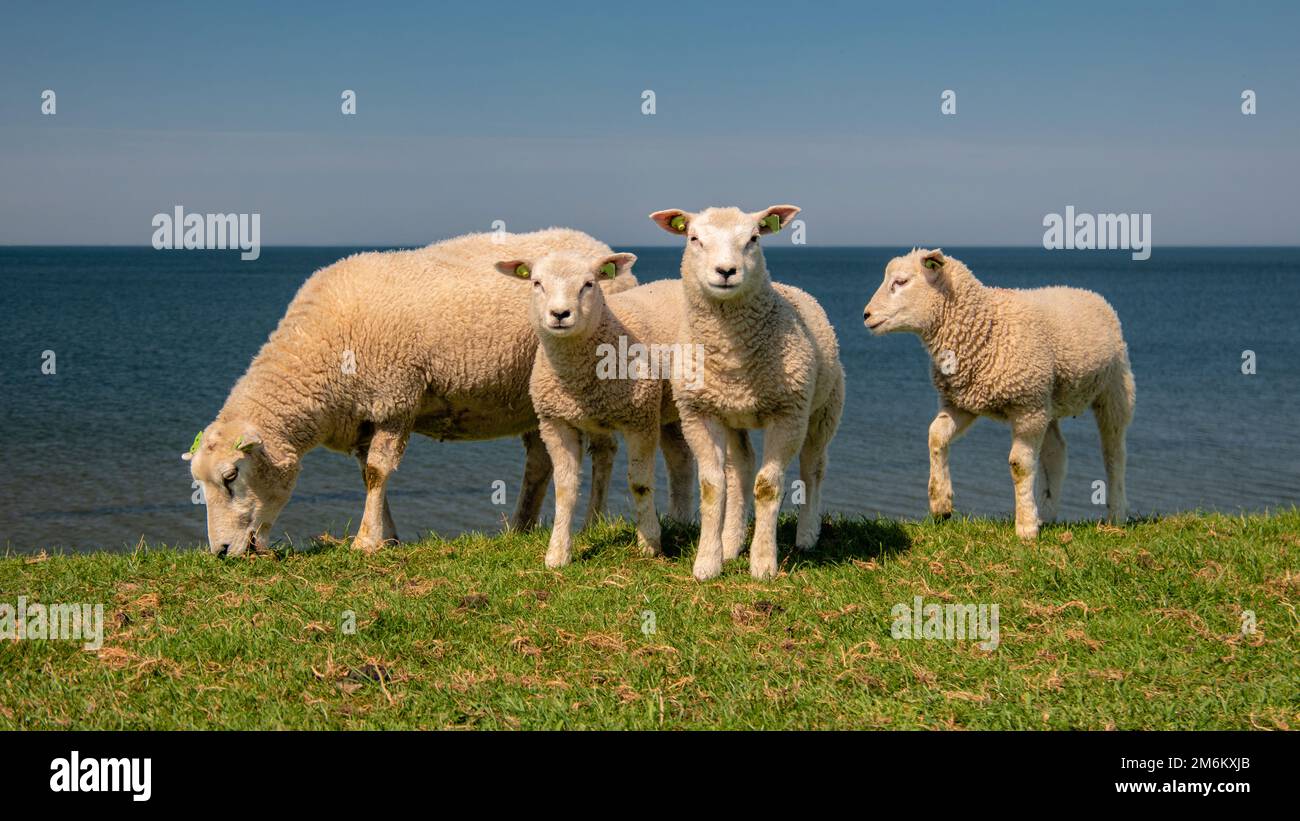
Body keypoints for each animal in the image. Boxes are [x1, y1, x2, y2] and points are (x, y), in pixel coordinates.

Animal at [181, 227, 682, 556]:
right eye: (199, 482)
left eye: (231, 476)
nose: (220, 552)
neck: (319, 354)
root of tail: (598, 246)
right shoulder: (363, 417)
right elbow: (368, 476)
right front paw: (388, 535)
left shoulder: (394, 398)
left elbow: (377, 472)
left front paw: (365, 542)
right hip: (533, 398)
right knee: (540, 461)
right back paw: (520, 527)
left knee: (603, 451)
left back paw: (593, 521)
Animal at [495, 251, 696, 568]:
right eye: (536, 283)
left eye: (589, 284)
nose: (560, 314)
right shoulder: (556, 423)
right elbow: (565, 489)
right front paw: (557, 554)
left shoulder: (640, 418)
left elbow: (639, 483)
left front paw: (649, 543)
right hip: (667, 409)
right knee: (681, 458)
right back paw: (680, 522)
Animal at [648, 204, 846, 581]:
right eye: (694, 238)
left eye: (754, 238)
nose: (726, 271)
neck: (732, 358)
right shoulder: (699, 413)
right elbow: (713, 486)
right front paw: (708, 562)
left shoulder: (788, 413)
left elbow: (768, 486)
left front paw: (764, 564)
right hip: (732, 416)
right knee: (739, 470)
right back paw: (731, 541)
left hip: (823, 409)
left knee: (813, 467)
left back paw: (807, 534)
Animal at [863, 248, 1135, 538]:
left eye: (901, 282)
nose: (866, 315)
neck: (987, 325)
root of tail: (1087, 293)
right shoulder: (962, 403)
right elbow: (935, 435)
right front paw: (940, 503)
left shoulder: (1027, 408)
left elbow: (1019, 464)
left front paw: (1025, 526)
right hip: (1047, 400)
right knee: (1055, 452)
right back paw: (1046, 514)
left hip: (1113, 388)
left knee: (1114, 451)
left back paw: (1116, 514)